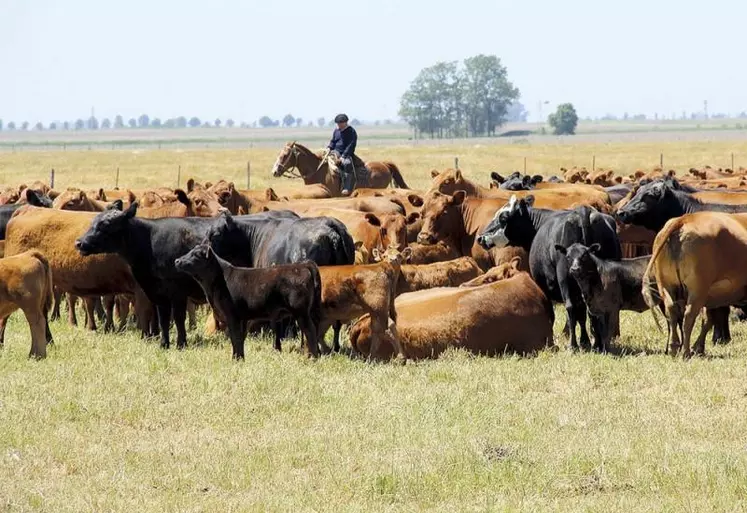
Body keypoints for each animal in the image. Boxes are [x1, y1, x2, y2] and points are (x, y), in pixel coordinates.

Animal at [175, 239, 322, 356]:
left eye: (195, 255)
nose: (177, 260)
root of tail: (302, 265)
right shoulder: (243, 319)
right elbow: (240, 339)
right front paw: (240, 358)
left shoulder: (232, 316)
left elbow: (235, 338)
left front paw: (236, 358)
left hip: (301, 312)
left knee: (310, 331)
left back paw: (312, 357)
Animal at [480, 194, 620, 350]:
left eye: (503, 217)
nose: (480, 238)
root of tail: (583, 211)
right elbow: (582, 314)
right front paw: (586, 341)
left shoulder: (543, 284)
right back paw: (598, 344)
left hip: (565, 277)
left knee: (571, 307)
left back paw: (573, 345)